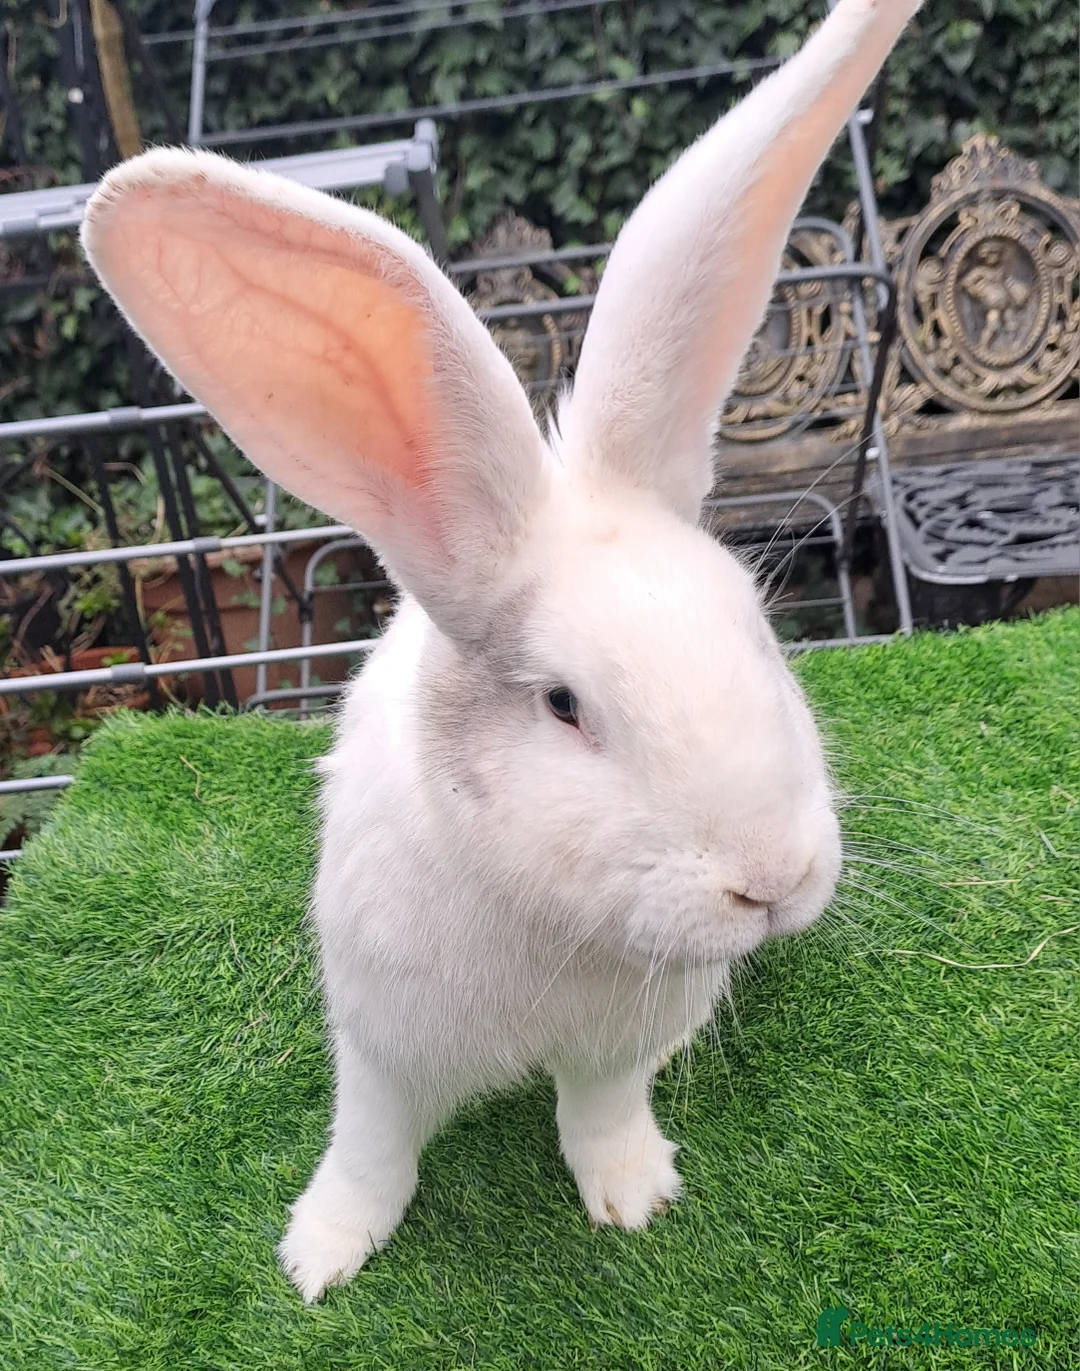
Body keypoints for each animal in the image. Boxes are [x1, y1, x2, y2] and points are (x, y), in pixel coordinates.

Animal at [82, 0, 923, 1302]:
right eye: (566, 705)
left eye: (759, 632)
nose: (772, 883)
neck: (557, 921)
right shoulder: (379, 1046)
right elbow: (371, 1150)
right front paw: (321, 1257)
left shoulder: (619, 1050)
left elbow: (601, 1113)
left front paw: (631, 1198)